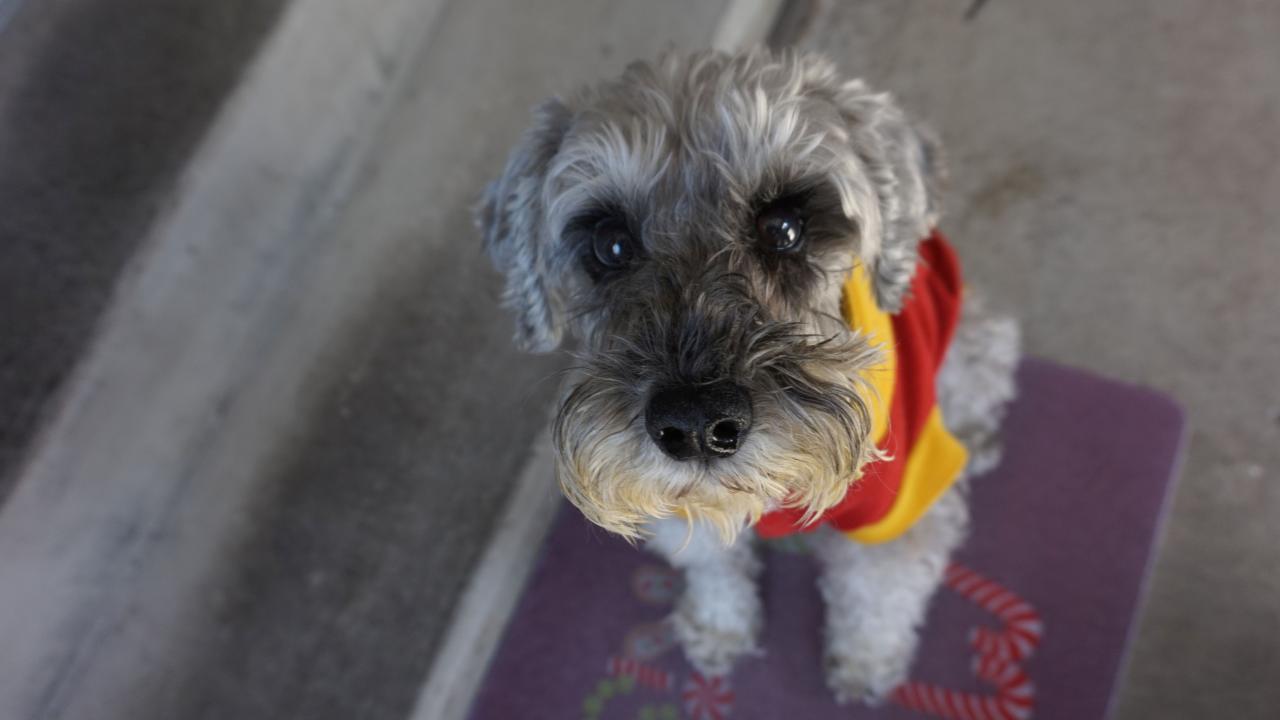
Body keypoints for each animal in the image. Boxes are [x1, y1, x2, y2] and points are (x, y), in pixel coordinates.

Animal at [476, 50, 1013, 702]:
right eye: (609, 244)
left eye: (785, 226)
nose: (696, 425)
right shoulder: (685, 508)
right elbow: (714, 566)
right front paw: (718, 628)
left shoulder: (897, 515)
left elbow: (878, 595)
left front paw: (864, 665)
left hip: (972, 338)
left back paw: (976, 437)